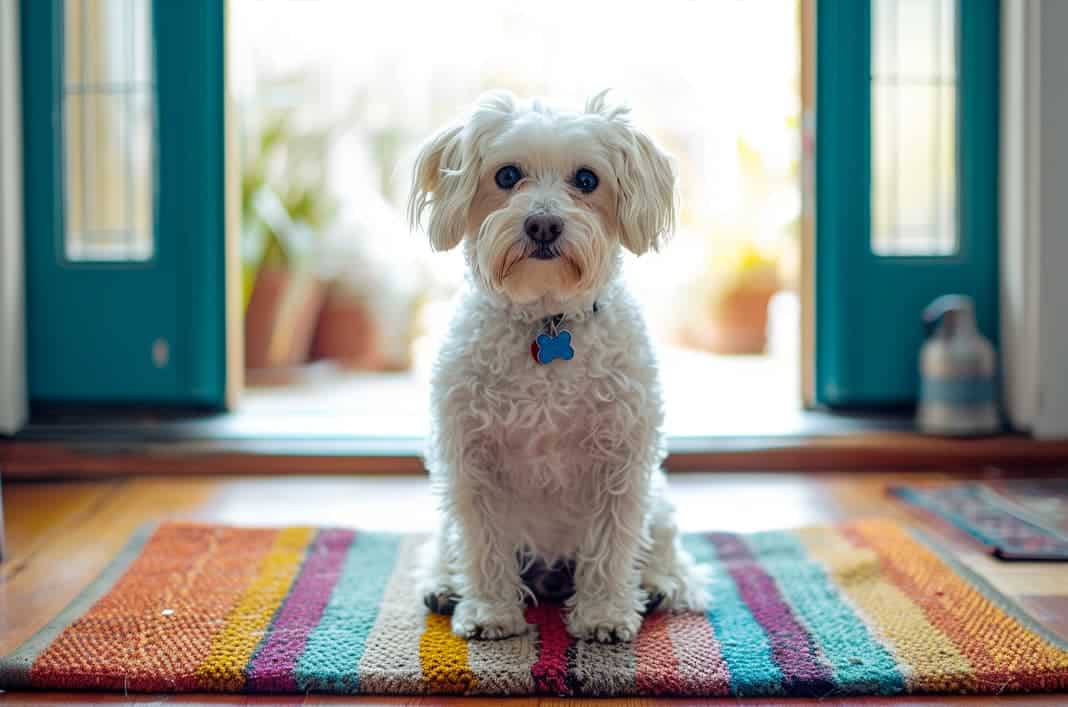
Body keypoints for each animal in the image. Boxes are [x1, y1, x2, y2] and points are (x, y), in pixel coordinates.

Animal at [410, 91, 709, 645]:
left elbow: (613, 544)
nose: (543, 224)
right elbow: (481, 544)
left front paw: (605, 613)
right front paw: (489, 610)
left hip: (658, 500)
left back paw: (661, 584)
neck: (547, 322)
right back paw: (443, 585)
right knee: (443, 545)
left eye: (587, 180)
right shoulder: (469, 461)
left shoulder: (622, 461)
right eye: (507, 175)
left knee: (669, 553)